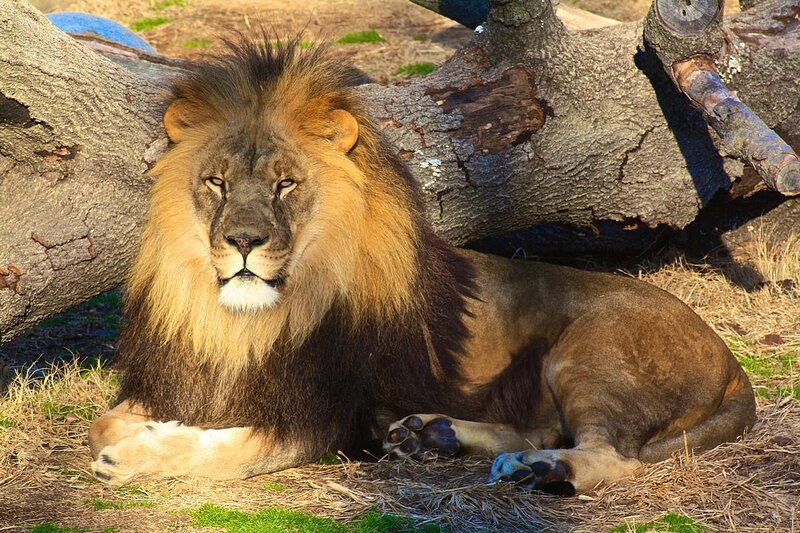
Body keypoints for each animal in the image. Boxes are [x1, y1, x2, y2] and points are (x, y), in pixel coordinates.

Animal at [89, 38, 756, 494]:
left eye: (285, 185)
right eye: (216, 182)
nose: (244, 240)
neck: (241, 322)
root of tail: (733, 365)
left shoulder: (327, 417)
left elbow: (223, 451)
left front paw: (139, 454)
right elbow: (104, 422)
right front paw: (136, 435)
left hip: (590, 353)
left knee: (610, 457)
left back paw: (537, 468)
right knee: (540, 430)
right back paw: (433, 434)